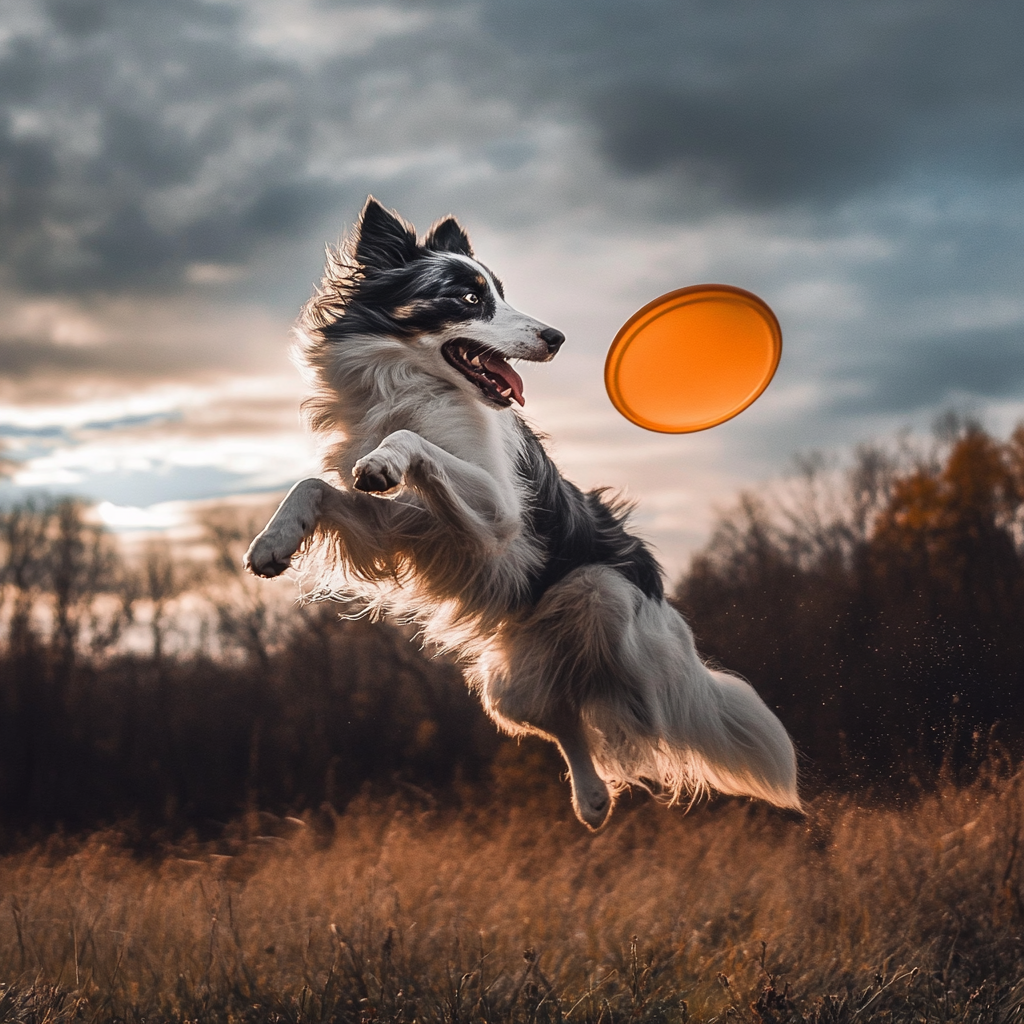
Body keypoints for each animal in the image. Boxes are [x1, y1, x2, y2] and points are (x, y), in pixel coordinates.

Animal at [245, 195, 798, 827]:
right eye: (467, 298)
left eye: (501, 293)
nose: (556, 337)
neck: (412, 385)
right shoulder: (403, 526)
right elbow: (311, 485)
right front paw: (272, 544)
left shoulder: (497, 510)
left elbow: (411, 442)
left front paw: (384, 459)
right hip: (503, 685)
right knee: (565, 718)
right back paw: (592, 798)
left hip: (604, 598)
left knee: (640, 709)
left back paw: (628, 747)